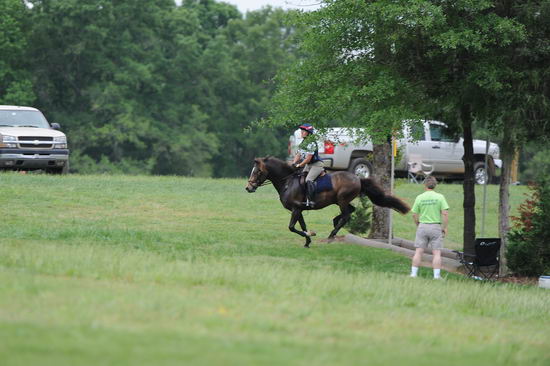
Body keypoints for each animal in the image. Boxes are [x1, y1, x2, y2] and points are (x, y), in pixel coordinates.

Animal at [246, 156, 410, 247]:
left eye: (258, 171)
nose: (248, 187)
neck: (288, 181)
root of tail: (358, 178)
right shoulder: (299, 210)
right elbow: (302, 226)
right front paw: (308, 240)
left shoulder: (296, 209)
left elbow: (292, 227)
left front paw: (310, 235)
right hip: (339, 200)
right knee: (350, 211)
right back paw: (334, 223)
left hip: (342, 199)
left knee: (346, 215)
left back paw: (331, 235)